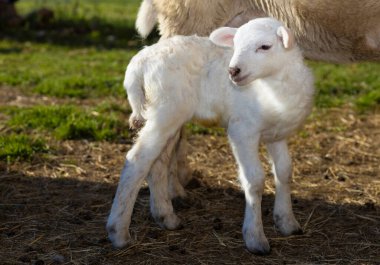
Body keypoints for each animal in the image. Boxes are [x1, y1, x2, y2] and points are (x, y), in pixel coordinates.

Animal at [107, 17, 314, 253]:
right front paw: (255, 238)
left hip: (169, 116)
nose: (233, 71)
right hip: (166, 111)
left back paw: (166, 217)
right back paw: (118, 232)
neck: (272, 86)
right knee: (137, 160)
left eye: (265, 46)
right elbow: (254, 180)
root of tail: (139, 61)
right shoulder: (242, 130)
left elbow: (285, 172)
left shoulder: (276, 134)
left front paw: (287, 222)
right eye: (236, 44)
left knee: (157, 163)